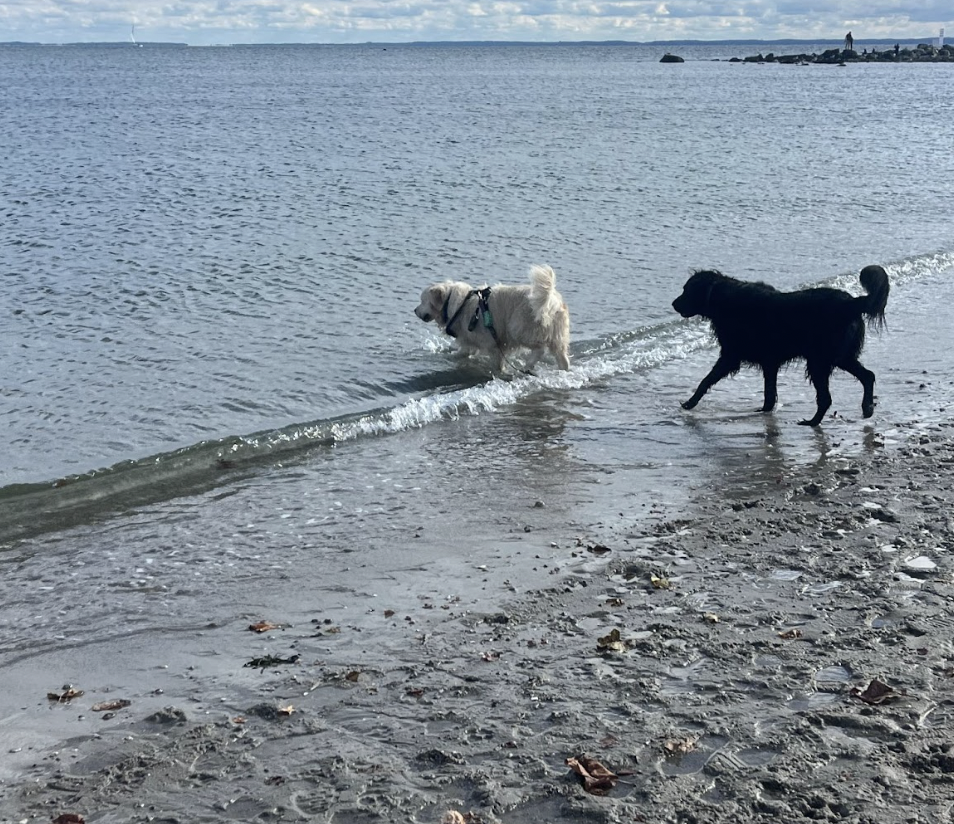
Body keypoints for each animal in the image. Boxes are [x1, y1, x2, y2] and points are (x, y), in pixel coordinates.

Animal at [412, 266, 568, 372]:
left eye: (422, 301)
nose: (414, 310)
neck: (459, 305)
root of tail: (551, 300)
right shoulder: (469, 342)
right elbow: (462, 353)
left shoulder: (492, 343)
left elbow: (497, 363)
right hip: (558, 337)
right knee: (562, 358)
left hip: (519, 328)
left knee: (540, 349)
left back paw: (528, 365)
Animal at [672, 268, 888, 428]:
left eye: (687, 290)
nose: (673, 304)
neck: (722, 298)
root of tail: (851, 302)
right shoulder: (769, 361)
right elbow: (769, 392)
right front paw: (765, 410)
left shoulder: (731, 356)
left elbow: (706, 380)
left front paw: (689, 403)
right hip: (839, 356)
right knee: (868, 375)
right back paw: (867, 408)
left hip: (820, 359)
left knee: (826, 397)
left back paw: (812, 422)